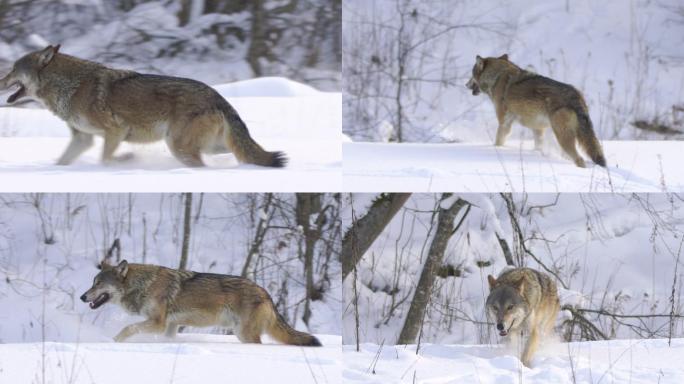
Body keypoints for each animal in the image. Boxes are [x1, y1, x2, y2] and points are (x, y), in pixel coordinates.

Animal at [0, 44, 286, 167]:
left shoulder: (114, 131)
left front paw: (126, 160)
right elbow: (62, 163)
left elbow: (105, 159)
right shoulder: (83, 139)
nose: (0, 80)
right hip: (209, 146)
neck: (70, 87)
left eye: (13, 70)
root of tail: (217, 96)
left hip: (179, 147)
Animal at [79, 260, 320, 346]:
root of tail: (266, 293)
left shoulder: (157, 322)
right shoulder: (170, 326)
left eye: (98, 284)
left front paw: (112, 342)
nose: (82, 297)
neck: (143, 284)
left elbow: (128, 329)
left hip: (245, 333)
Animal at [468, 54, 608, 168]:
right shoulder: (538, 128)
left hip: (562, 138)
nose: (466, 84)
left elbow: (498, 142)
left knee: (579, 159)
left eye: (471, 74)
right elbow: (538, 146)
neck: (497, 77)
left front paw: (495, 149)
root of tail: (576, 95)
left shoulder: (504, 123)